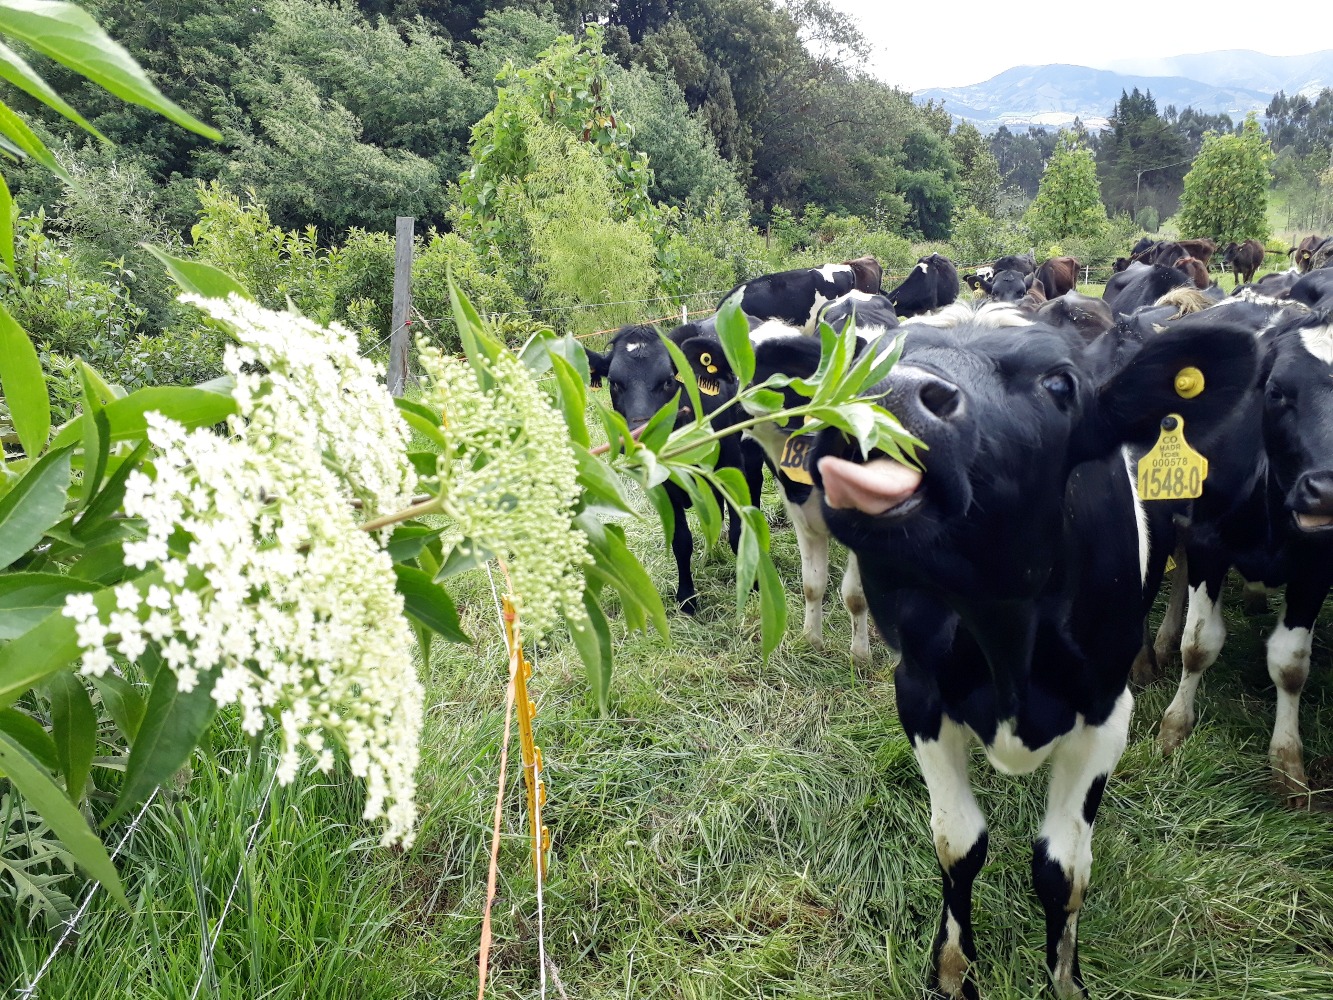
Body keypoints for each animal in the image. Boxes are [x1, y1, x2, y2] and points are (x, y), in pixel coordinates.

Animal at [586, 325, 746, 616]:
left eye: (669, 380)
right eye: (614, 382)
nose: (641, 438)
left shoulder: (732, 465)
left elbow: (739, 532)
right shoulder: (666, 485)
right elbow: (681, 541)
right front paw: (687, 597)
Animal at [799, 309, 1258, 997]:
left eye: (1059, 383)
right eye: (867, 362)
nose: (891, 397)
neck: (1006, 643)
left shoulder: (1105, 714)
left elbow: (1062, 869)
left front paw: (1064, 979)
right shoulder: (919, 693)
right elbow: (958, 844)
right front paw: (952, 969)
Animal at [1157, 301, 1333, 805]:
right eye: (1276, 391)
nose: (1326, 491)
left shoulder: (1317, 567)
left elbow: (1290, 665)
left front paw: (1288, 764)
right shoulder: (1207, 543)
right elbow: (1198, 645)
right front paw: (1174, 729)